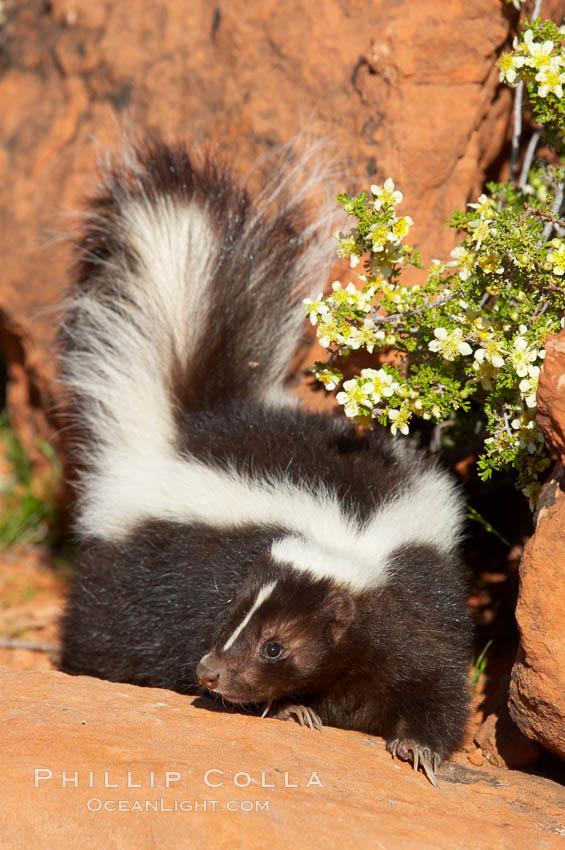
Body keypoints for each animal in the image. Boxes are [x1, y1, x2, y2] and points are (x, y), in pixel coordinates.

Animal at [59, 139, 472, 780]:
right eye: (232, 615)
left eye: (275, 645)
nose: (209, 672)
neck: (350, 533)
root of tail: (188, 426)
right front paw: (292, 710)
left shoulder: (424, 594)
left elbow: (437, 676)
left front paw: (421, 747)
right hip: (128, 582)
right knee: (104, 635)